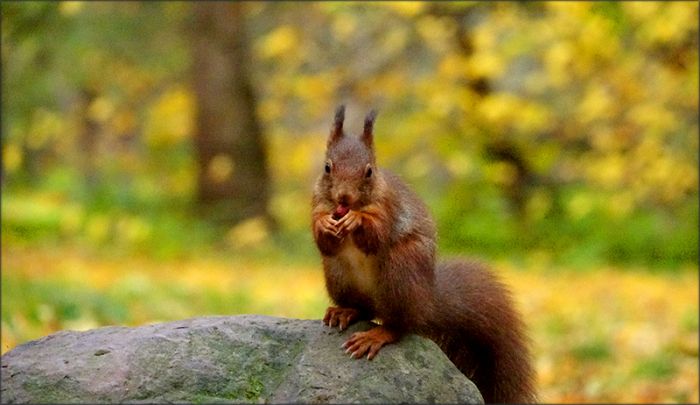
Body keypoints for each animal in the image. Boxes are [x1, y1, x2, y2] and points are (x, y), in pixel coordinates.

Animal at [311, 105, 536, 404]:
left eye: (369, 171)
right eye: (327, 167)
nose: (343, 198)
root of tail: (427, 301)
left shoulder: (389, 207)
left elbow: (376, 235)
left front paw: (357, 220)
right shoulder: (317, 204)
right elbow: (324, 241)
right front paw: (325, 224)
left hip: (401, 274)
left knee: (401, 326)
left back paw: (377, 335)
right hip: (338, 275)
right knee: (364, 308)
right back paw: (345, 311)